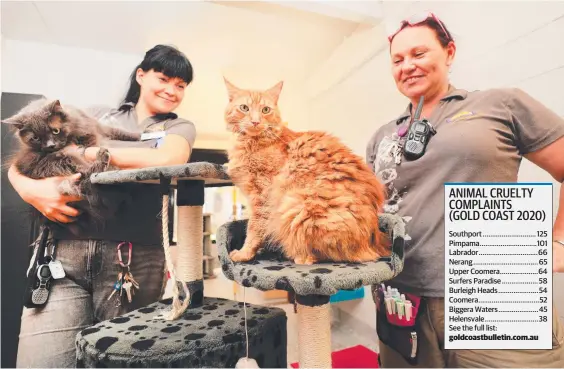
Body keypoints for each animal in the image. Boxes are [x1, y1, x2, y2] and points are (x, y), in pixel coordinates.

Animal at [224, 78, 388, 264]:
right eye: (244, 108)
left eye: (265, 110)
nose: (255, 122)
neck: (252, 143)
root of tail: (375, 239)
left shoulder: (262, 196)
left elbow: (254, 229)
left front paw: (244, 254)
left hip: (295, 207)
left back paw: (298, 256)